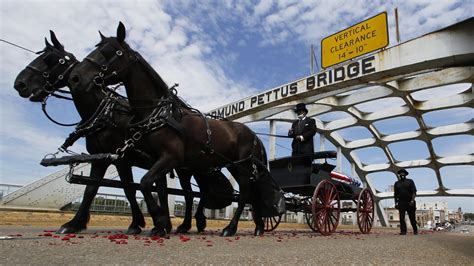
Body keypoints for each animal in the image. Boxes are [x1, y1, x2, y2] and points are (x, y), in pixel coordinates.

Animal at [13, 31, 209, 235]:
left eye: (51, 59)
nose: (19, 84)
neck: (106, 113)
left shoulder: (121, 160)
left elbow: (128, 189)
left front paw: (137, 223)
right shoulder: (100, 158)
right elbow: (91, 188)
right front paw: (74, 223)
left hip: (190, 167)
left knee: (194, 193)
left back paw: (191, 222)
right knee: (177, 191)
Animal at [68, 21, 280, 236]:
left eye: (111, 52)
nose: (75, 77)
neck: (158, 112)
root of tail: (255, 136)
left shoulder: (170, 157)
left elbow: (145, 183)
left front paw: (159, 220)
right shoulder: (161, 161)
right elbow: (158, 189)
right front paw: (164, 223)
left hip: (242, 165)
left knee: (245, 193)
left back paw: (231, 227)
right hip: (234, 166)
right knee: (250, 193)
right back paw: (258, 226)